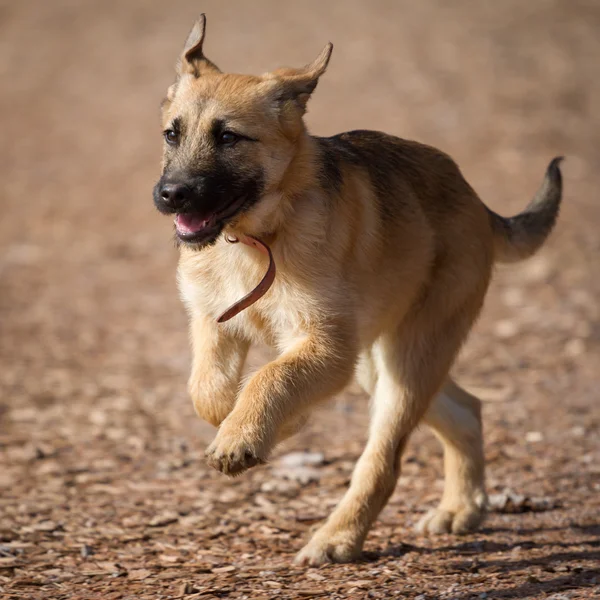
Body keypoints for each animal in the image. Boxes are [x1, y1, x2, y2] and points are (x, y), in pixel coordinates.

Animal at [154, 15, 564, 568]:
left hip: (406, 359)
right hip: (382, 360)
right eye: (171, 134)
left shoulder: (326, 346)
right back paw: (461, 508)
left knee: (383, 461)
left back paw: (338, 538)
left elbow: (269, 377)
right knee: (467, 408)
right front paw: (266, 425)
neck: (258, 235)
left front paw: (248, 434)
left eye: (229, 137)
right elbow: (208, 393)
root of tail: (477, 201)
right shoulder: (216, 324)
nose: (169, 195)